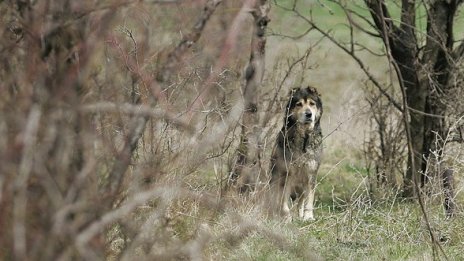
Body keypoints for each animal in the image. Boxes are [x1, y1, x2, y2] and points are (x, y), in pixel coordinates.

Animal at [268, 86, 322, 220]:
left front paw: (308, 217)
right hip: (274, 179)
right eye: (299, 104)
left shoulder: (310, 174)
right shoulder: (287, 173)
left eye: (312, 104)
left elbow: (309, 199)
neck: (304, 137)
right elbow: (283, 200)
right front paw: (286, 217)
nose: (309, 114)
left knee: (300, 201)